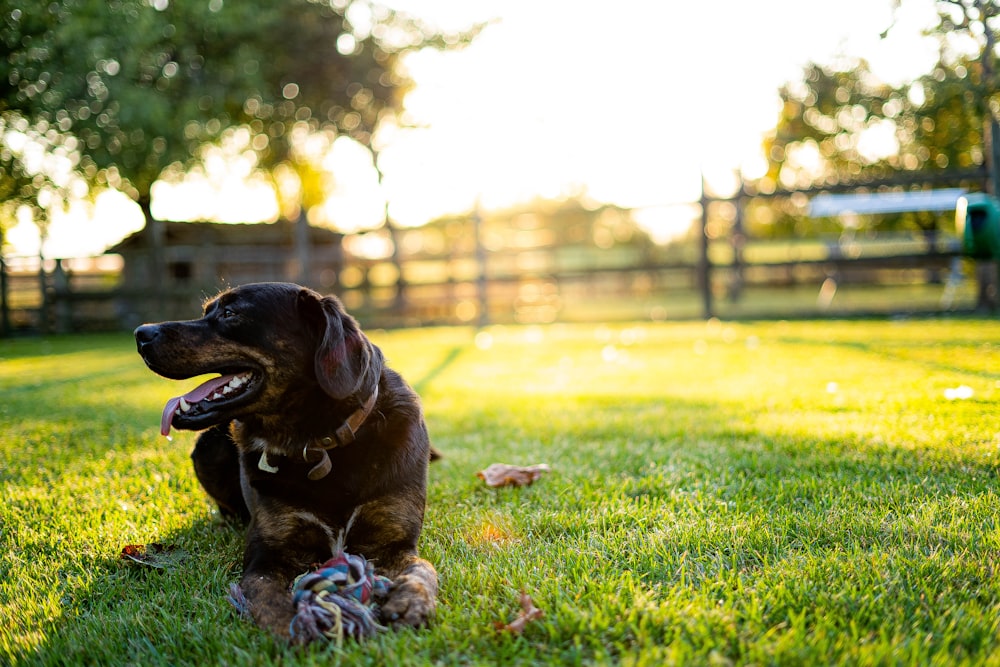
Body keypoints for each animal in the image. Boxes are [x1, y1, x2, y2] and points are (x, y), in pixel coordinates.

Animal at [131, 280, 436, 636]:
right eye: (208, 311)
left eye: (230, 313)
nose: (140, 333)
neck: (317, 445)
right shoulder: (268, 553)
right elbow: (266, 595)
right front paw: (294, 625)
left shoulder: (394, 543)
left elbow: (423, 569)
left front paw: (411, 600)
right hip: (209, 447)